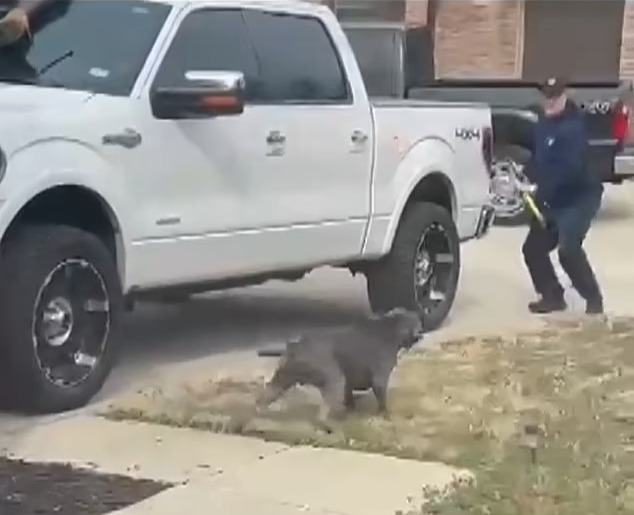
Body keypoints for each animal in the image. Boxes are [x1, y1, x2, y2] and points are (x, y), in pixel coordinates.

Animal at [254, 308, 422, 422]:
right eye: (416, 323)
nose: (420, 334)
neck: (391, 327)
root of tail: (296, 346)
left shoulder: (351, 379)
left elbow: (349, 394)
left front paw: (351, 410)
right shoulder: (379, 377)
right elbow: (381, 396)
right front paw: (385, 414)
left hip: (284, 376)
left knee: (269, 392)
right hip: (332, 377)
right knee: (324, 410)